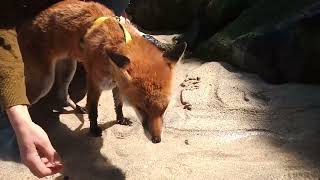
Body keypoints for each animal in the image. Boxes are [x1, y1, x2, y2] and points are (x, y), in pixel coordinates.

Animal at [17, 0, 186, 143]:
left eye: (164, 109)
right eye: (141, 108)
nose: (157, 140)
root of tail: (27, 24)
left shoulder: (118, 84)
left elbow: (118, 105)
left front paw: (120, 120)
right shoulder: (94, 84)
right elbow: (94, 111)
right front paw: (93, 129)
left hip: (68, 68)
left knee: (61, 94)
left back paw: (77, 107)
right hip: (44, 82)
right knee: (25, 101)